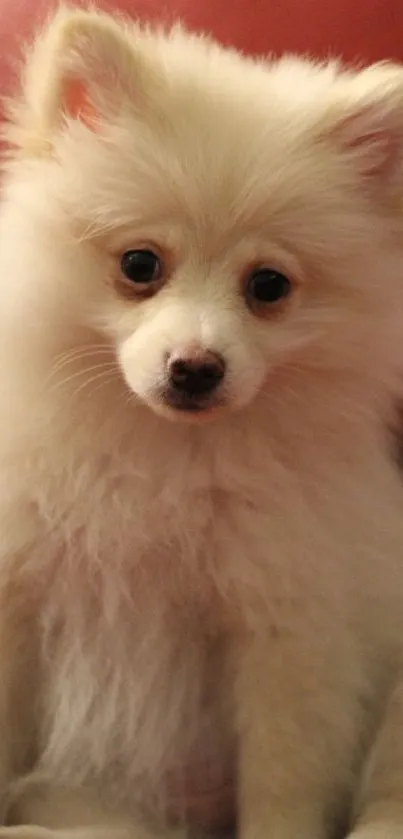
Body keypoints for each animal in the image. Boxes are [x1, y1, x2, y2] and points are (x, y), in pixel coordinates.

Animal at [1, 8, 403, 839]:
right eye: (140, 264)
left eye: (268, 285)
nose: (195, 367)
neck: (165, 458)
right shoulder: (16, 593)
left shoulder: (286, 632)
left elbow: (283, 787)